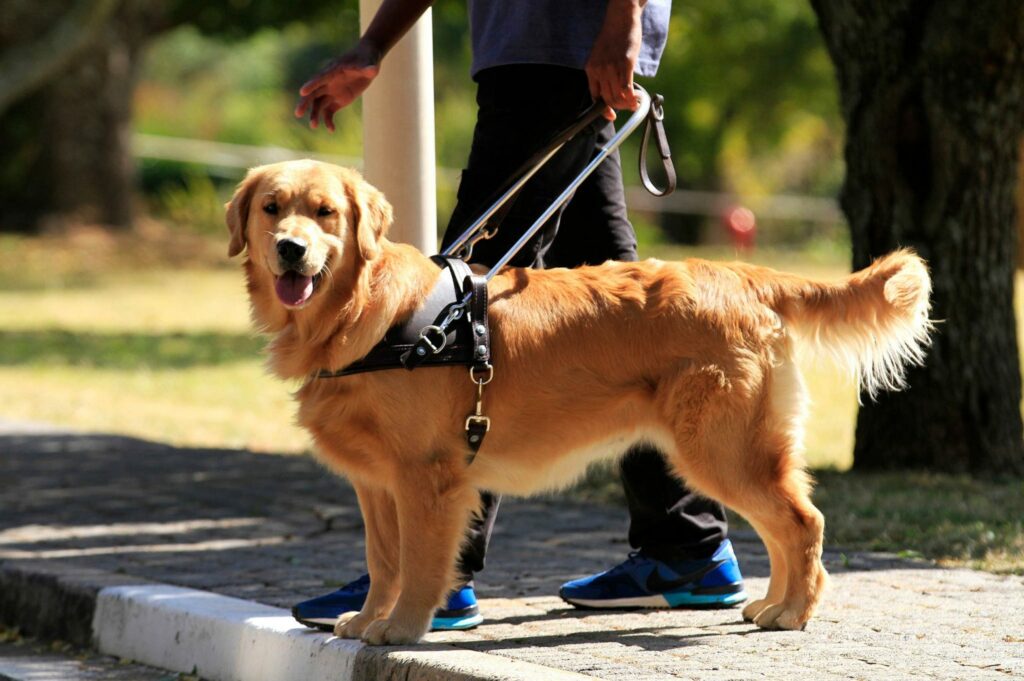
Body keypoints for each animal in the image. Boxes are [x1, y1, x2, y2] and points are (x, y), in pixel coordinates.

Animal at [228, 157, 933, 643]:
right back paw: (772, 604)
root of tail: (744, 275)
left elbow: (421, 564)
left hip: (721, 448)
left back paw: (793, 611)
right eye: (272, 207)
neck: (369, 316)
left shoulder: (428, 478)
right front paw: (365, 617)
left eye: (325, 212)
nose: (291, 248)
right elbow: (382, 561)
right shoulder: (378, 484)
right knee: (783, 525)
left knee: (802, 522)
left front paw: (402, 628)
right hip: (725, 450)